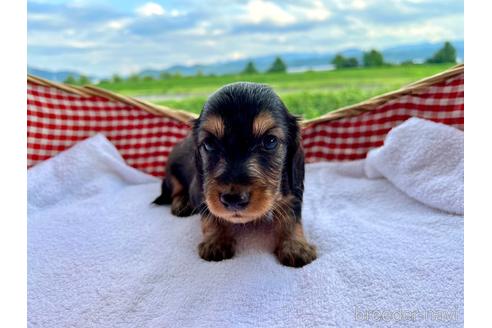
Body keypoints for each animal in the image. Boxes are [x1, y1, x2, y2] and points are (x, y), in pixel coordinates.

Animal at [152, 81, 318, 266]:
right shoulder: (202, 192)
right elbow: (209, 214)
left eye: (270, 141)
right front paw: (216, 241)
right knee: (176, 190)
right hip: (172, 173)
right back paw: (182, 203)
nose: (233, 199)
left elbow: (291, 216)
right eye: (209, 144)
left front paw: (295, 246)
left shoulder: (293, 188)